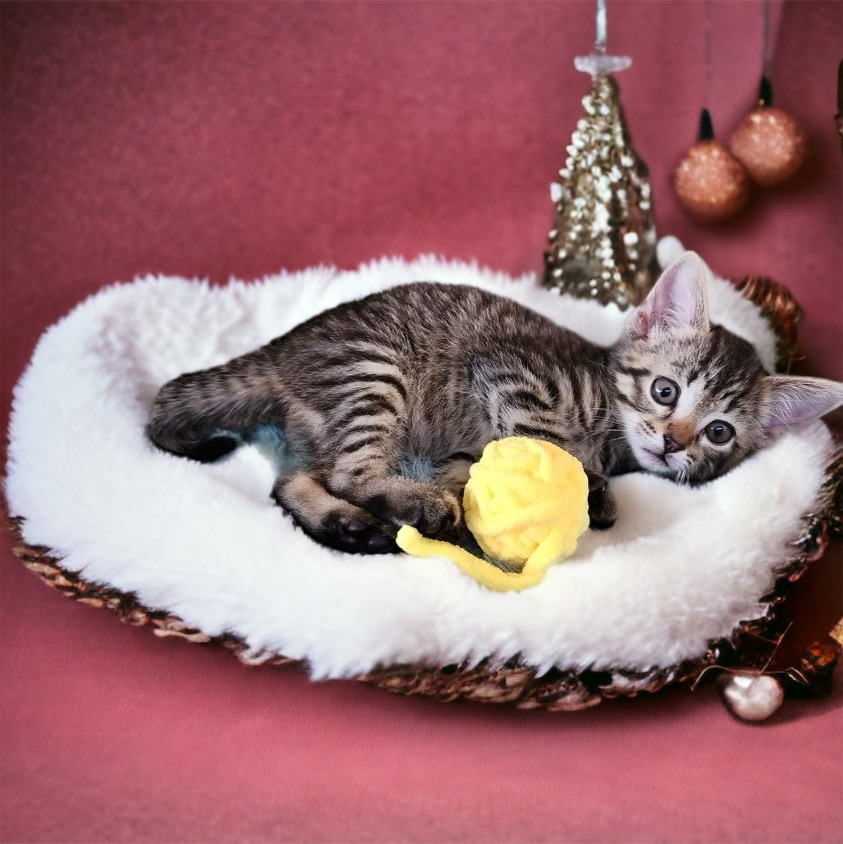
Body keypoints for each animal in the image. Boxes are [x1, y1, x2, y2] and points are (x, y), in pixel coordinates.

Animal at [146, 252, 843, 554]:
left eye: (719, 433)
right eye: (664, 391)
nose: (673, 443)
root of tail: (282, 346)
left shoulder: (463, 449)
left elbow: (471, 471)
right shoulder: (512, 371)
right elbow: (550, 441)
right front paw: (591, 489)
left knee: (292, 481)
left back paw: (349, 523)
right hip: (377, 372)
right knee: (349, 471)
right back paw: (411, 504)